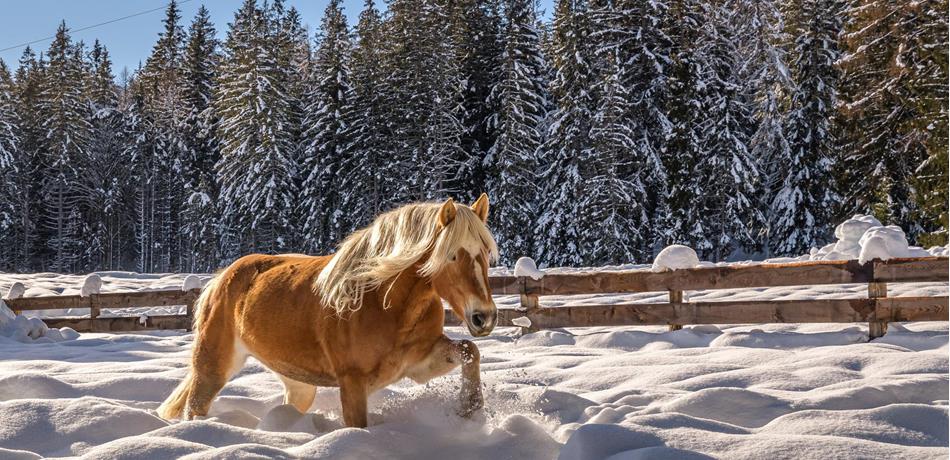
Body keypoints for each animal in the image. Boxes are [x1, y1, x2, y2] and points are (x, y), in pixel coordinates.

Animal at [157, 194, 499, 428]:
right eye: (451, 255)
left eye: (485, 252)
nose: (484, 317)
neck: (386, 304)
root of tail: (221, 278)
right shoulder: (352, 383)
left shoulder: (418, 364)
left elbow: (470, 351)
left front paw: (470, 409)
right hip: (213, 369)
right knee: (194, 407)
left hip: (299, 386)